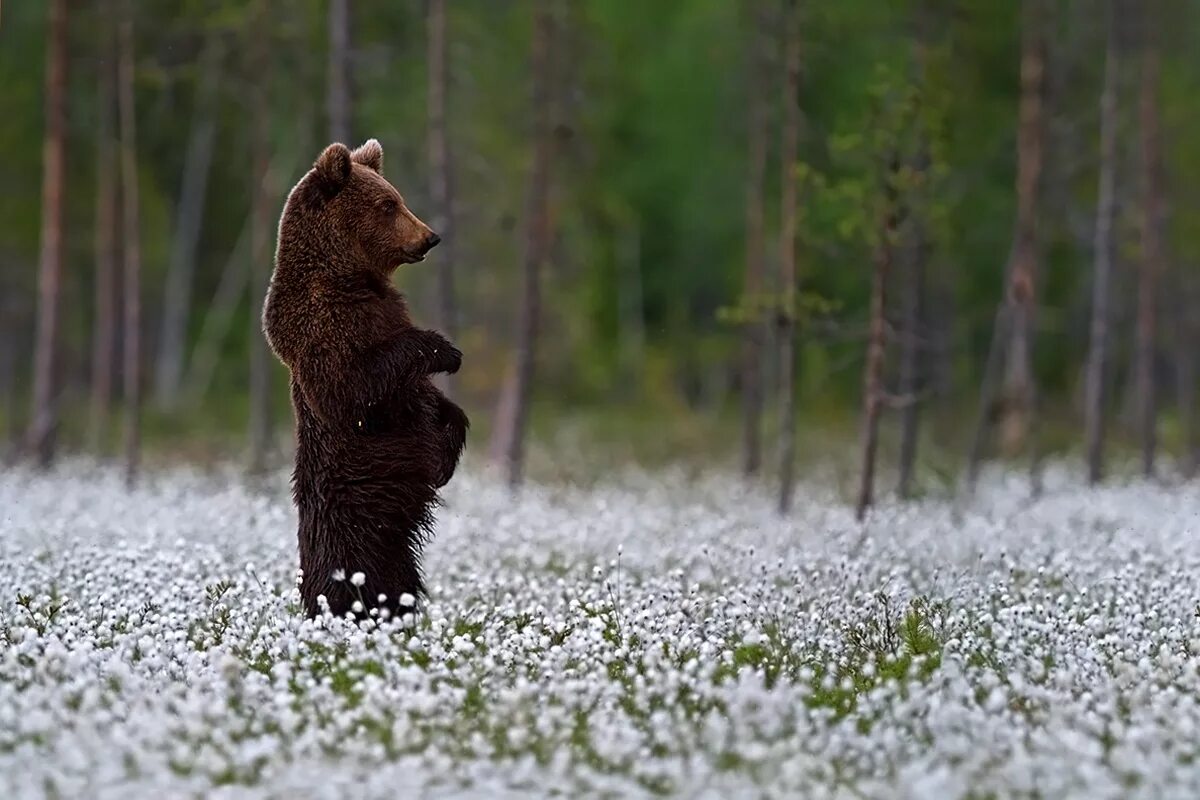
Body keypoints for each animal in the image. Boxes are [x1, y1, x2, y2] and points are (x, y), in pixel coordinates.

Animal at [262, 140, 468, 623]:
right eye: (388, 204)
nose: (430, 236)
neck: (347, 275)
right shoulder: (324, 329)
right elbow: (356, 388)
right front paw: (445, 351)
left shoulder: (382, 307)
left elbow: (431, 402)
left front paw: (448, 451)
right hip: (352, 529)